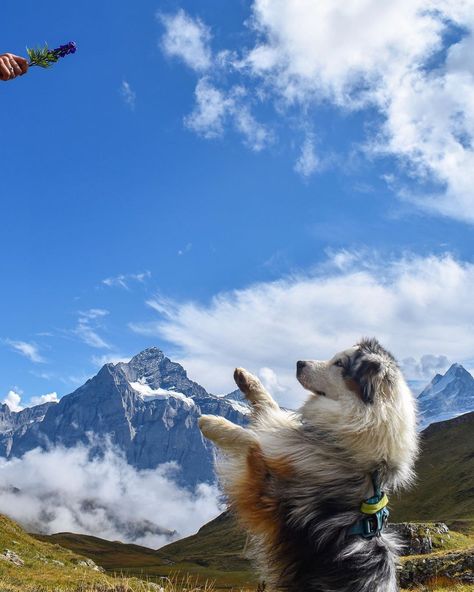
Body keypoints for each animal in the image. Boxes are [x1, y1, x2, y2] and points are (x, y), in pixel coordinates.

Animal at [198, 338, 416, 592]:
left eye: (339, 363)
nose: (299, 362)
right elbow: (270, 407)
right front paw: (246, 379)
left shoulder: (270, 488)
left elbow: (252, 440)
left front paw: (212, 424)